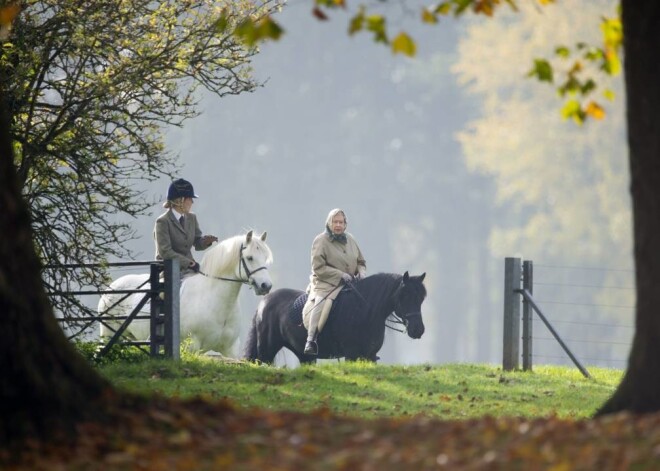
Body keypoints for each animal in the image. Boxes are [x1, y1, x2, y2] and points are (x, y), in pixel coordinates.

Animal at [98, 230, 274, 356]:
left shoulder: (230, 349)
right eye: (250, 258)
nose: (266, 286)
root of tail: (112, 287)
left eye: (265, 257)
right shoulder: (192, 346)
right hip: (109, 334)